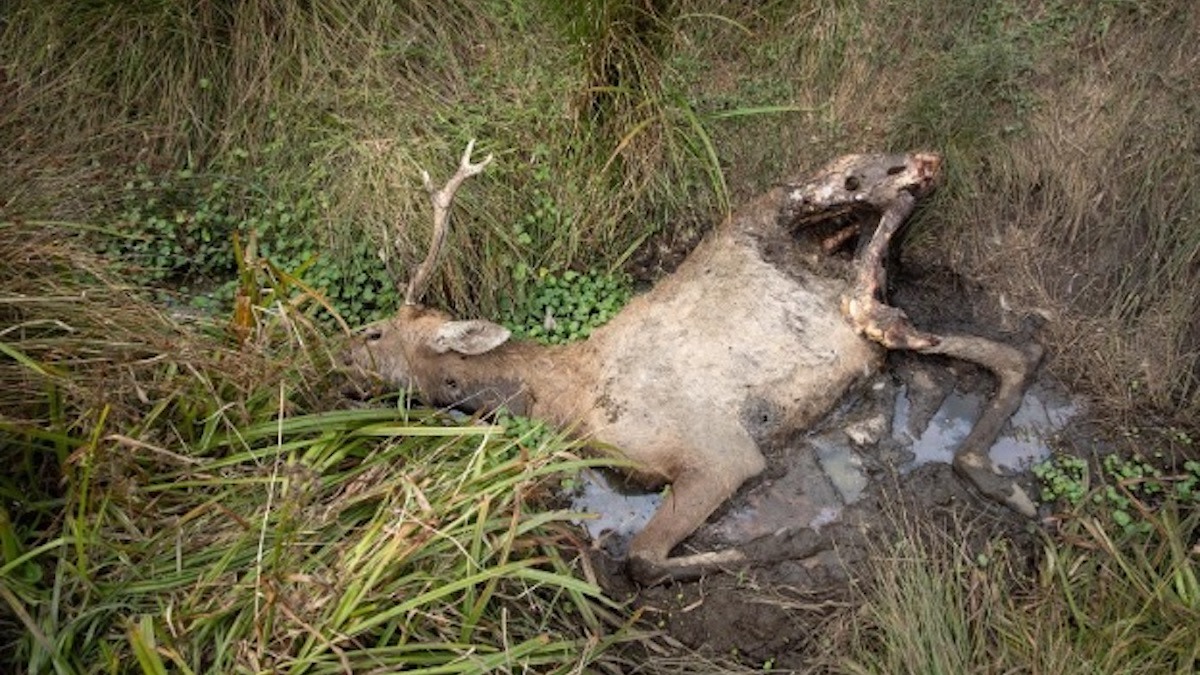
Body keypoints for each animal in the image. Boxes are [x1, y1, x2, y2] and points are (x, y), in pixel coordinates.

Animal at [344, 140, 1043, 586]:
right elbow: (641, 556)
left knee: (993, 337)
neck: (566, 400)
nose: (338, 355)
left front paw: (799, 540)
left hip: (842, 265)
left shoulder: (720, 453)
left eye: (374, 331)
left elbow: (640, 559)